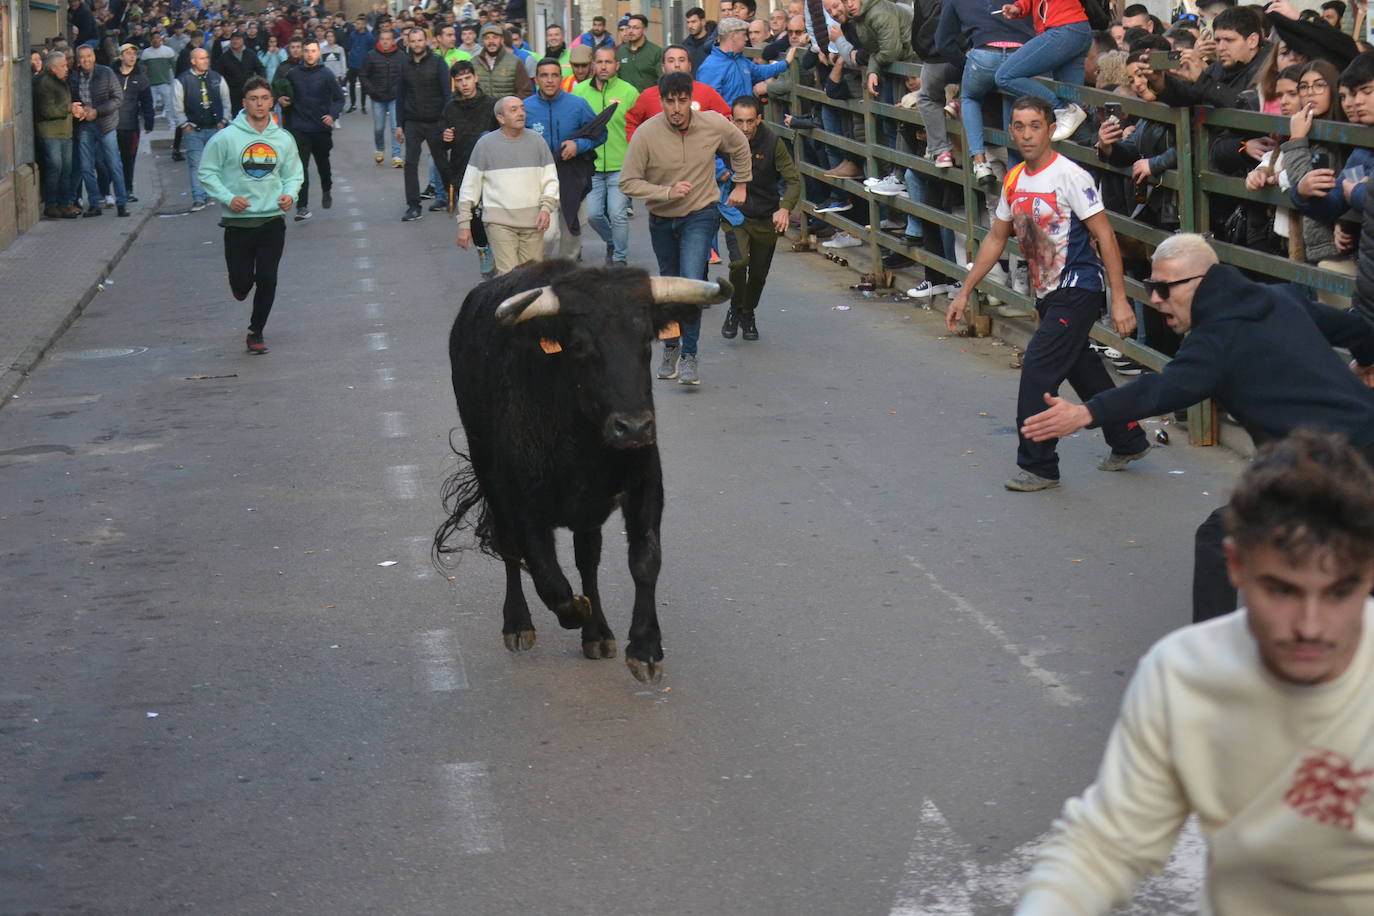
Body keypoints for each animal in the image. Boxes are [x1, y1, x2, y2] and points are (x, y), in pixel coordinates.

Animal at [434, 260, 736, 683]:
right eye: (578, 345)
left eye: (647, 340)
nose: (633, 427)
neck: (584, 445)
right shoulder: (524, 504)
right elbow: (549, 578)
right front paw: (573, 610)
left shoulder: (646, 484)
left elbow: (644, 560)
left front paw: (644, 648)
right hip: (488, 470)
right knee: (510, 549)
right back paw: (519, 625)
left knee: (587, 559)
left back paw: (597, 634)